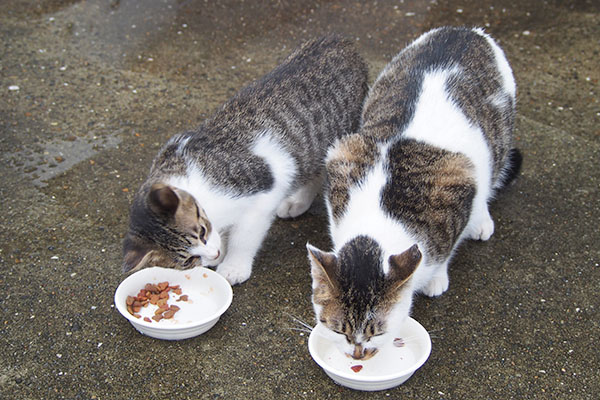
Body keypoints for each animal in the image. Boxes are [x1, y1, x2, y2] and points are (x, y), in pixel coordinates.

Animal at [122, 35, 368, 284]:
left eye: (201, 232)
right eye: (188, 260)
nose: (214, 253)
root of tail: (338, 40)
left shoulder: (262, 196)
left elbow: (244, 237)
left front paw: (234, 265)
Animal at [308, 27, 524, 360]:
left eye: (378, 332)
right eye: (337, 330)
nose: (358, 355)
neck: (378, 222)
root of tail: (465, 31)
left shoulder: (459, 182)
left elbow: (446, 249)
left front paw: (436, 277)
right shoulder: (342, 158)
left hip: (496, 141)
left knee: (492, 178)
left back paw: (481, 221)